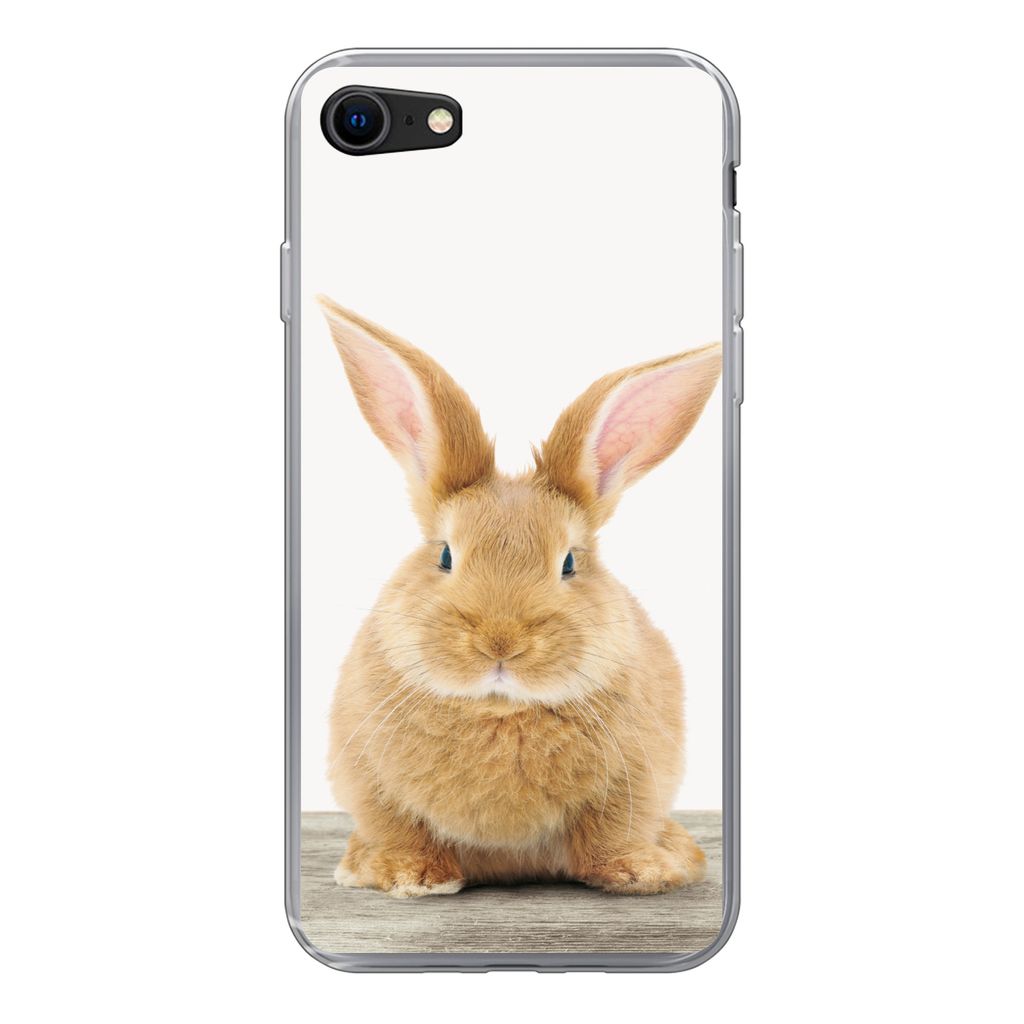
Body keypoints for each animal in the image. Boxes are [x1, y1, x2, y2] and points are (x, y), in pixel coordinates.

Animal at [318, 295, 721, 898]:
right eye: (445, 555)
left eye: (570, 562)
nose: (500, 642)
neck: (499, 708)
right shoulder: (370, 779)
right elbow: (403, 829)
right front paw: (412, 877)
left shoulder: (635, 780)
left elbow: (610, 833)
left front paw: (639, 872)